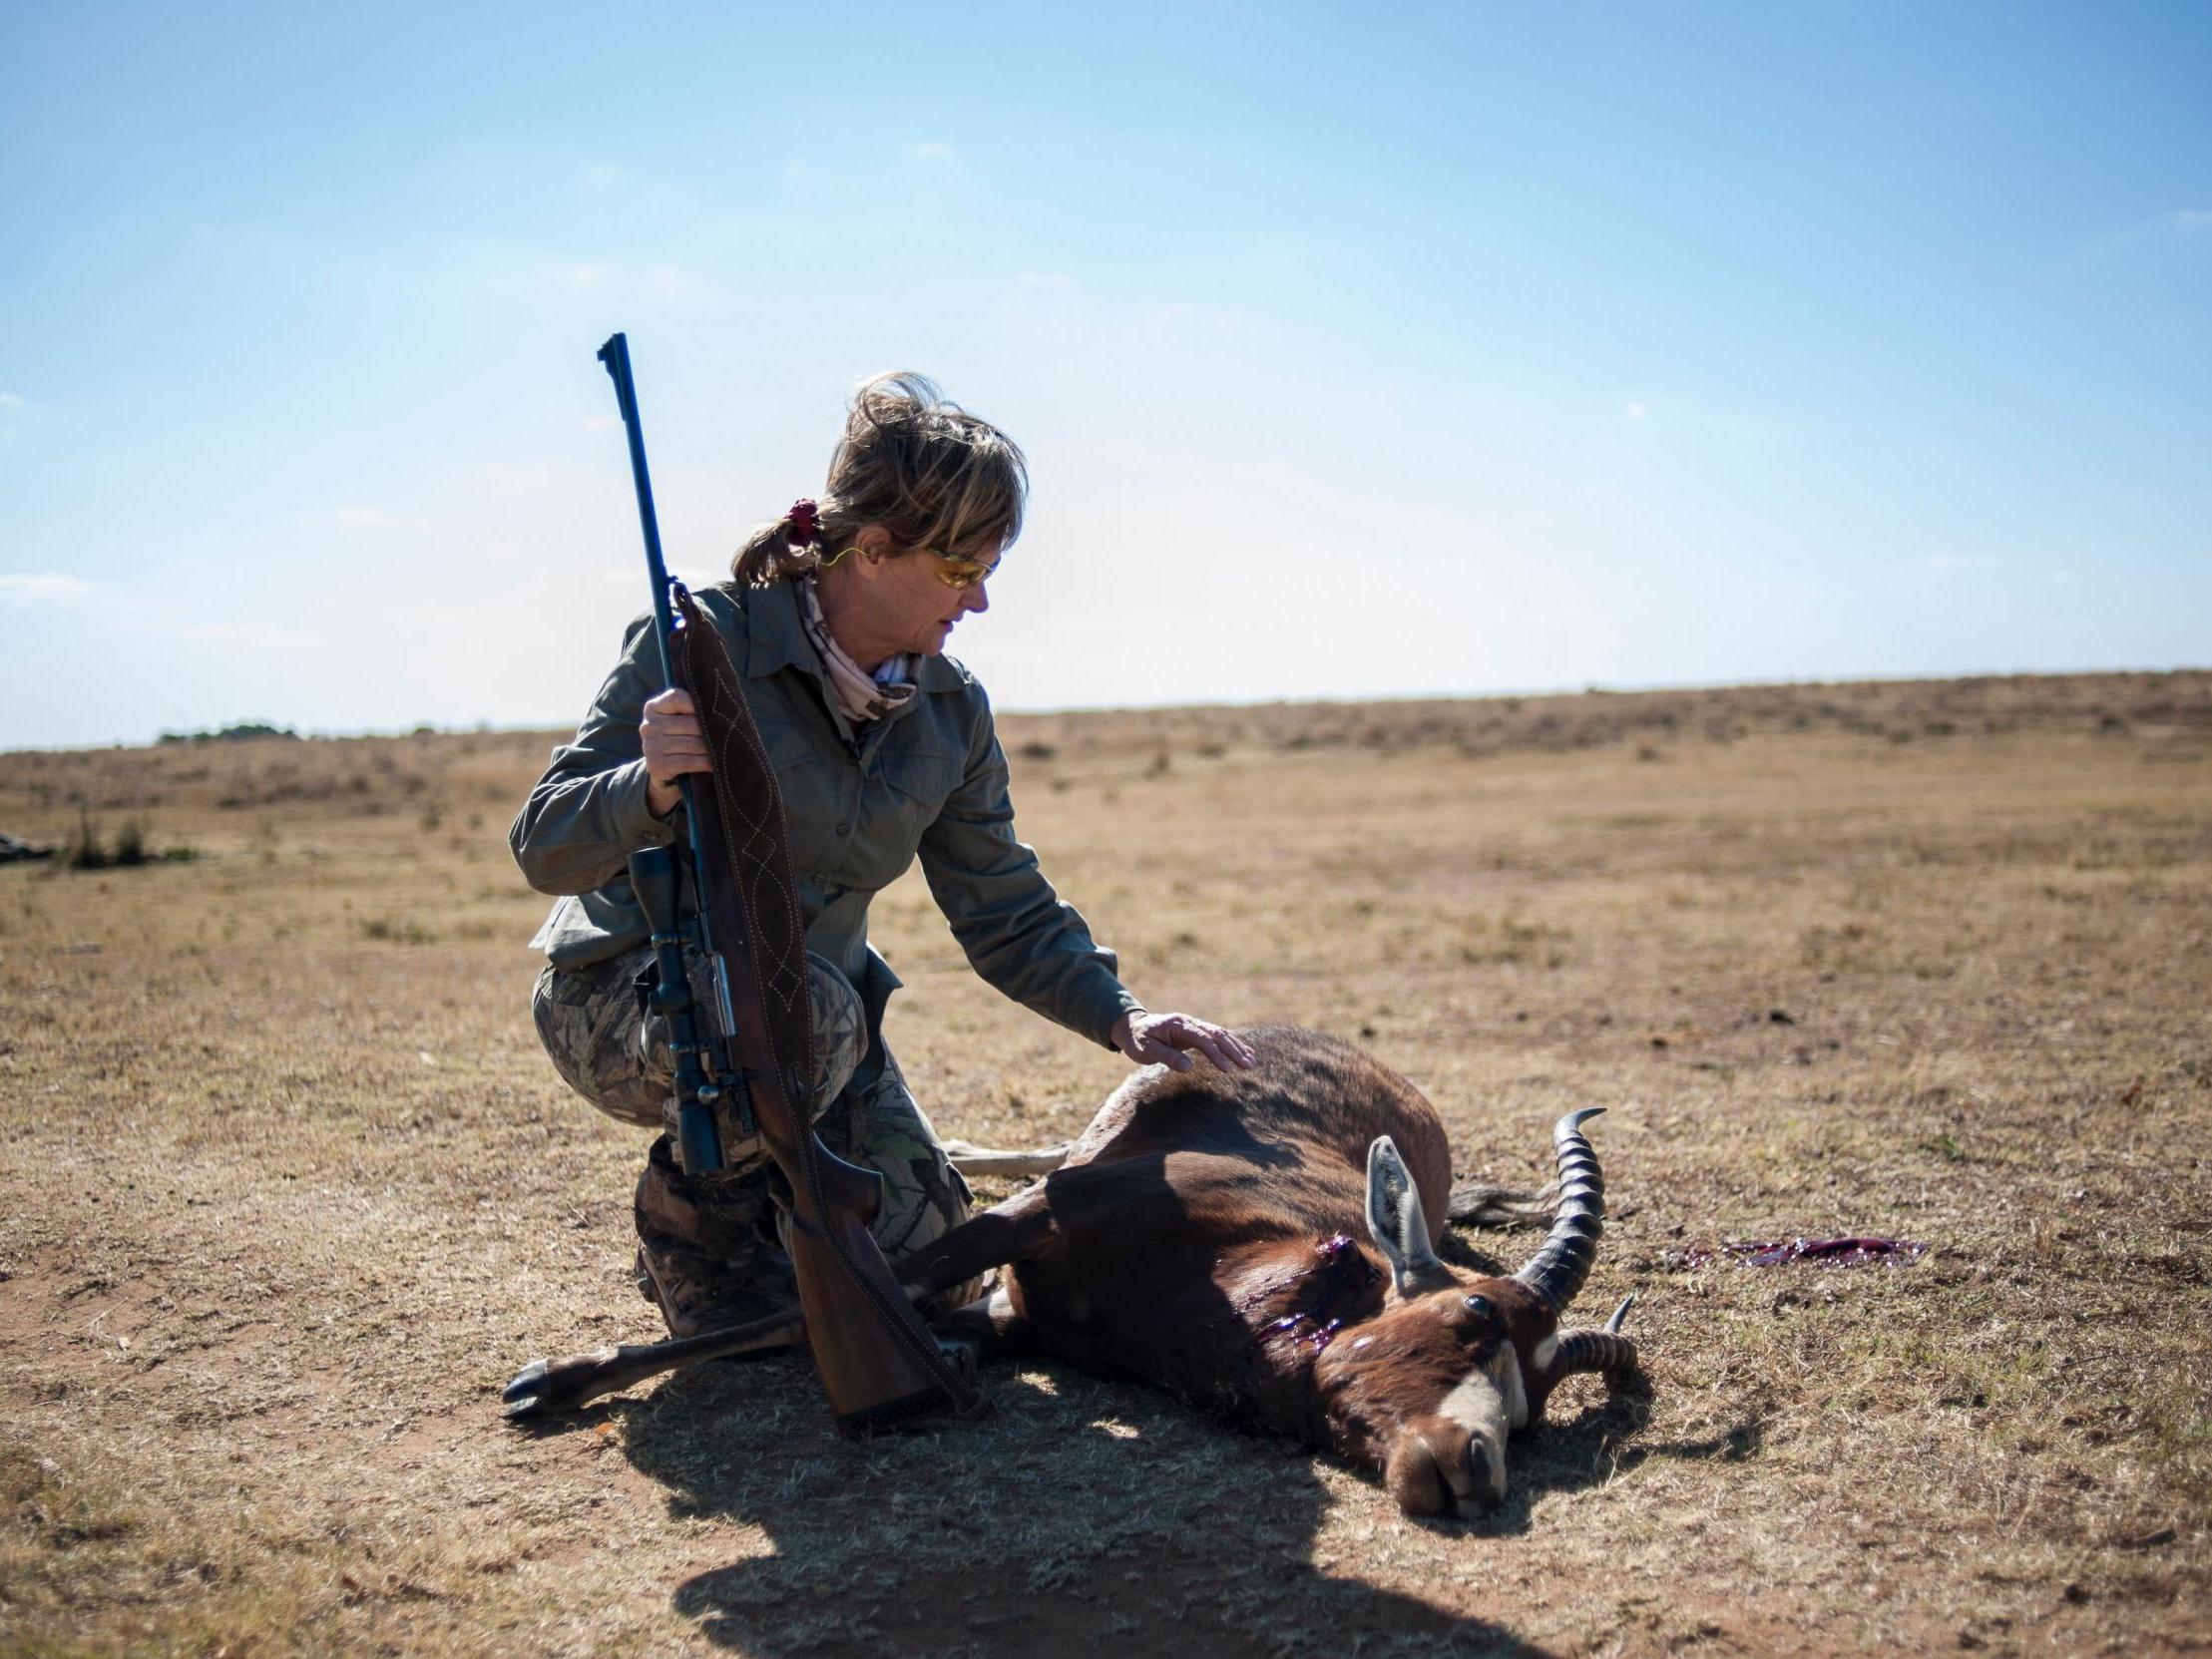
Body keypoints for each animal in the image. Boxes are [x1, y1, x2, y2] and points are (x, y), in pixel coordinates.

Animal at [508, 1026, 1636, 1521]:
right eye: (1476, 1312)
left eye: (1531, 1415)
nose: (1475, 1468)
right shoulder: (1034, 1224)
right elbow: (836, 1300)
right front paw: (553, 1381)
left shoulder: (1021, 1318)